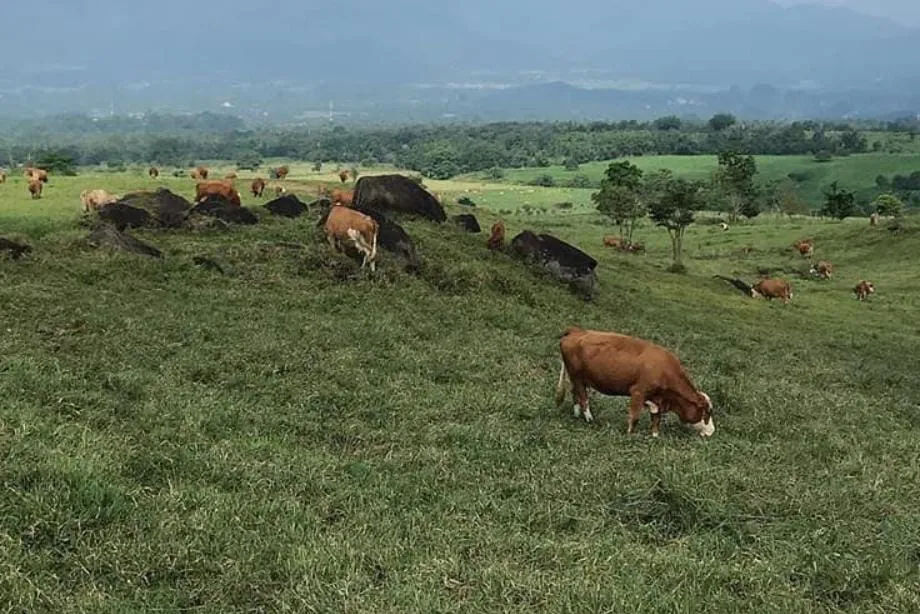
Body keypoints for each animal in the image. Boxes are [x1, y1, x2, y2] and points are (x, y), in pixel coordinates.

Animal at [552, 328, 712, 438]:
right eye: (706, 412)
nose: (712, 431)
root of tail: (576, 330)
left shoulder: (657, 399)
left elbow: (656, 418)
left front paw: (655, 436)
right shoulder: (638, 392)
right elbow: (634, 417)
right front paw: (630, 434)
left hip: (577, 378)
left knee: (575, 394)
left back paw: (577, 415)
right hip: (577, 377)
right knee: (583, 398)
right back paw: (589, 419)